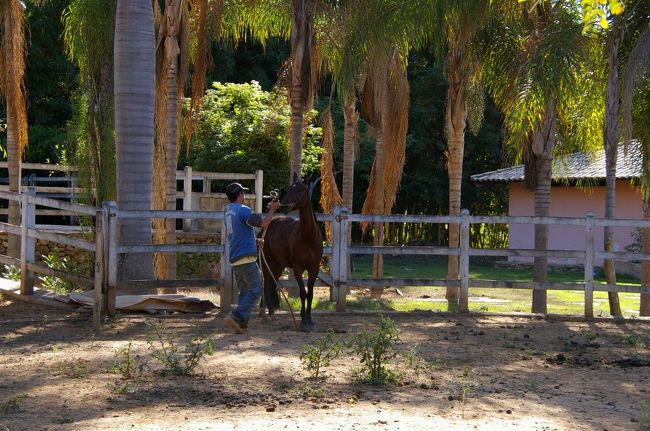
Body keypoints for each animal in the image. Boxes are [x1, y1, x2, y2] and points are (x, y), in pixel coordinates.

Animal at [261, 177, 323, 331]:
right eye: (289, 189)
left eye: (300, 190)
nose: (282, 206)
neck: (308, 238)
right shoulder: (298, 268)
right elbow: (302, 293)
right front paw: (303, 321)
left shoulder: (314, 269)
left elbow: (310, 294)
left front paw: (310, 320)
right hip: (266, 263)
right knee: (266, 284)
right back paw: (266, 315)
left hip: (278, 266)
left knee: (271, 283)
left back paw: (270, 313)